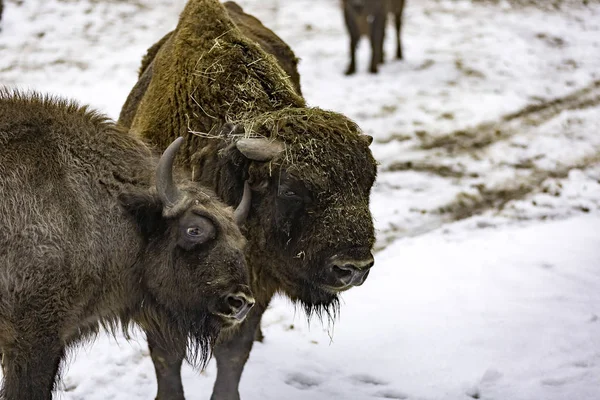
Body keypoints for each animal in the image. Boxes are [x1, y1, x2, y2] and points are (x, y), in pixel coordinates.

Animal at [119, 0, 378, 400]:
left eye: (369, 182)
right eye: (290, 189)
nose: (354, 267)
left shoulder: (255, 282)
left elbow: (232, 352)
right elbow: (167, 354)